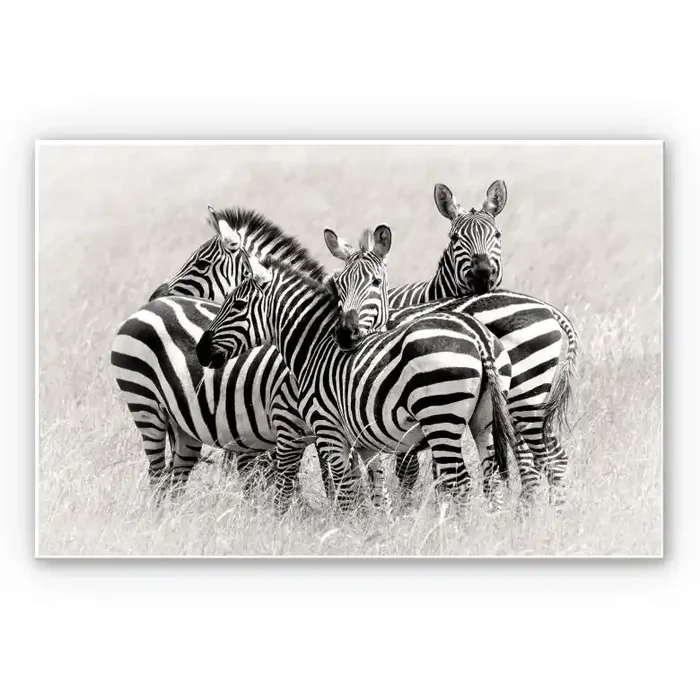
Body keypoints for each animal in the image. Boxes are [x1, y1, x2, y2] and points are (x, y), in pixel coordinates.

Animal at [111, 207, 333, 507]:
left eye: (201, 264)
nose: (155, 294)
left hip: (180, 420)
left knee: (172, 479)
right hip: (145, 404)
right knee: (158, 477)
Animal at [195, 234, 519, 513]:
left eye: (237, 305)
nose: (199, 351)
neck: (314, 347)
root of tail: (477, 334)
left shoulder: (328, 431)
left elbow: (344, 492)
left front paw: (343, 530)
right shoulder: (365, 442)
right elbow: (376, 492)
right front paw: (376, 530)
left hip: (440, 417)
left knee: (460, 482)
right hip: (483, 422)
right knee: (491, 479)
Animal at [326, 181, 578, 507]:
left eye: (498, 235)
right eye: (455, 238)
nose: (483, 274)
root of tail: (550, 310)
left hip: (524, 396)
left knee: (541, 458)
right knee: (545, 456)